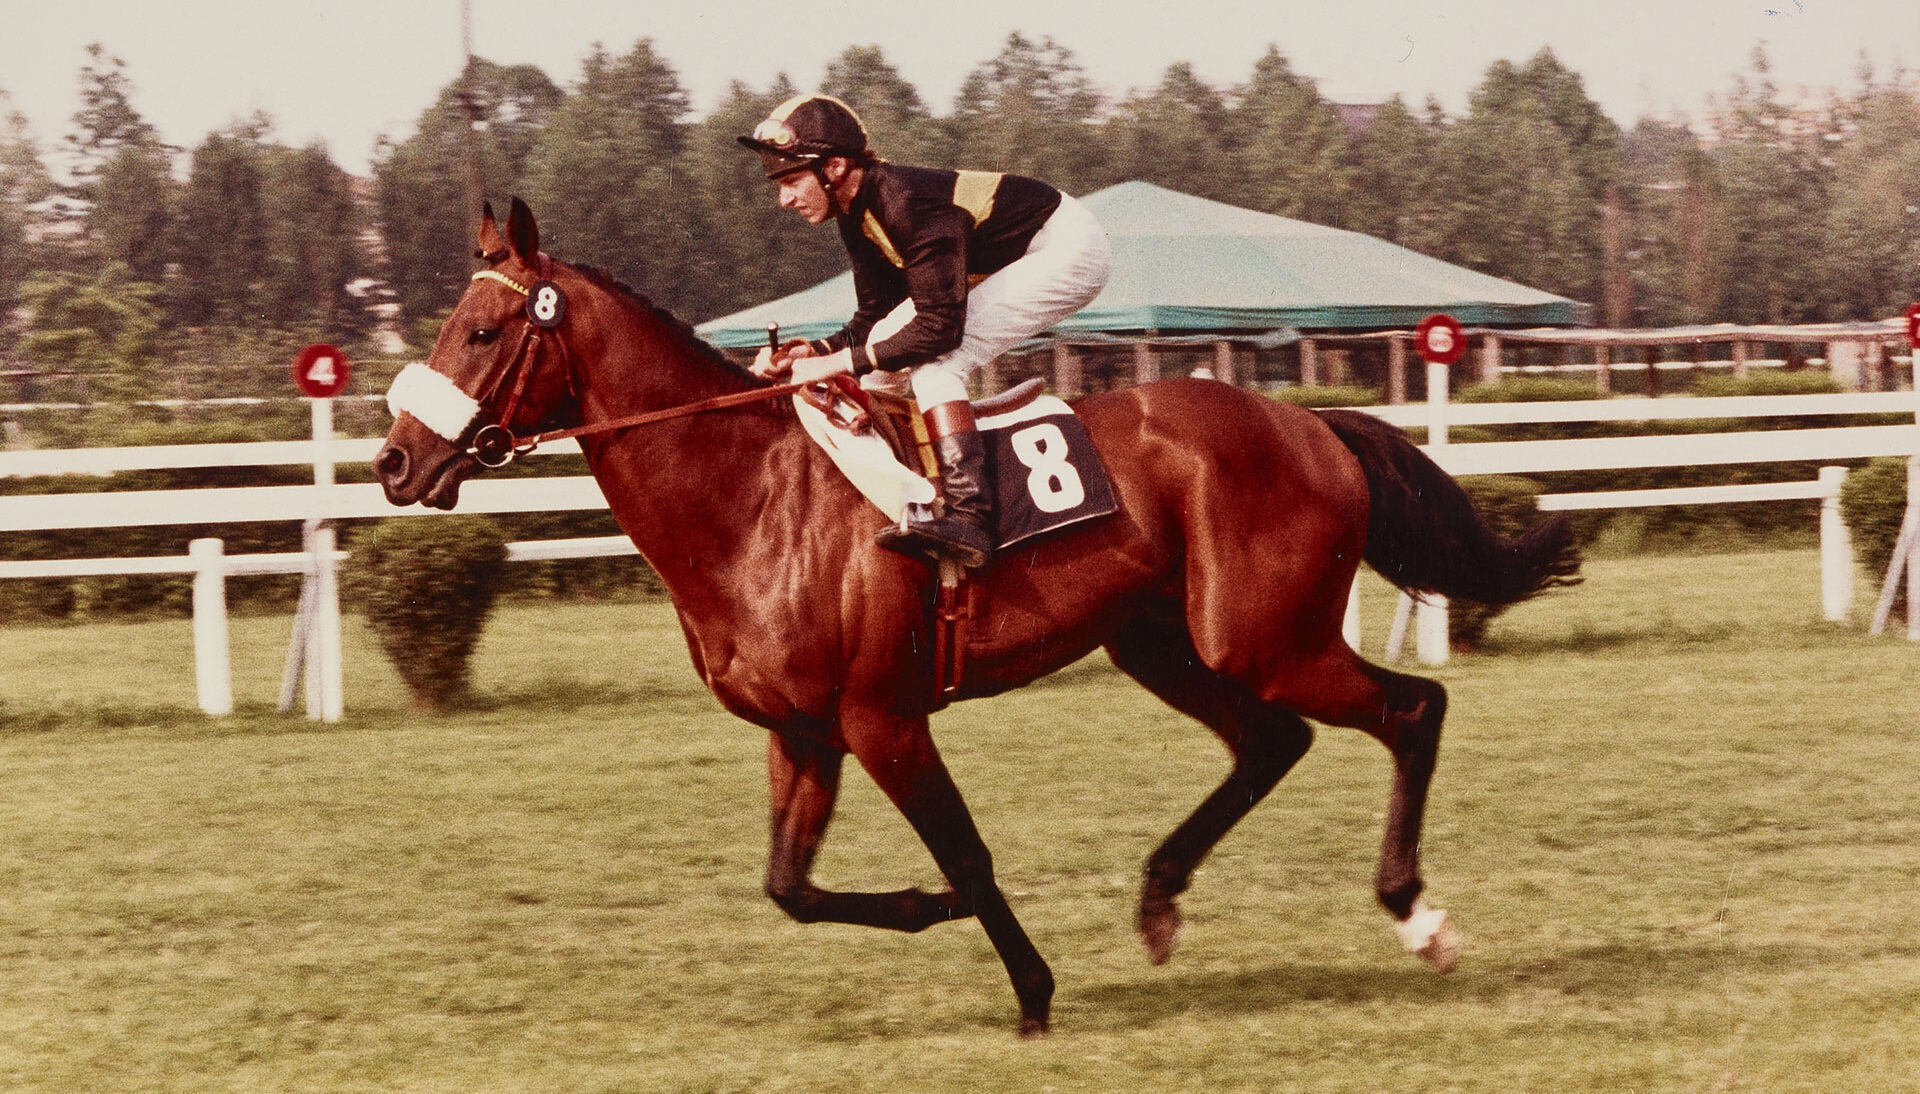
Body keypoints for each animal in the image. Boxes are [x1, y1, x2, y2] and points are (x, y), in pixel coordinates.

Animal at [374, 200, 1574, 1036]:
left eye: (480, 329)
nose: (394, 461)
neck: (750, 497)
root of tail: (1313, 424)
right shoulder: (803, 731)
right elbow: (789, 886)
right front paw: (925, 908)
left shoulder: (882, 718)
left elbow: (969, 855)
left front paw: (1030, 987)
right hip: (1163, 641)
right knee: (1274, 741)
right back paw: (1160, 898)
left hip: (1265, 637)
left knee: (1412, 709)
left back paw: (1416, 914)